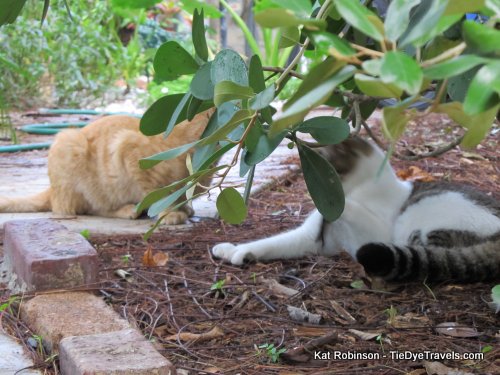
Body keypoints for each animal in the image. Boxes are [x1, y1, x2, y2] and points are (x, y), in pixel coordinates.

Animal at [0, 110, 215, 225]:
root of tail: (51, 190)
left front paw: (183, 207)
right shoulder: (128, 147)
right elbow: (158, 193)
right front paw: (170, 213)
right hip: (68, 143)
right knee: (85, 208)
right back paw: (129, 210)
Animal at [212, 137, 500, 282]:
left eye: (315, 167)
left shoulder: (372, 234)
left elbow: (347, 209)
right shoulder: (311, 239)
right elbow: (271, 242)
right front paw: (235, 250)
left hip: (421, 220)